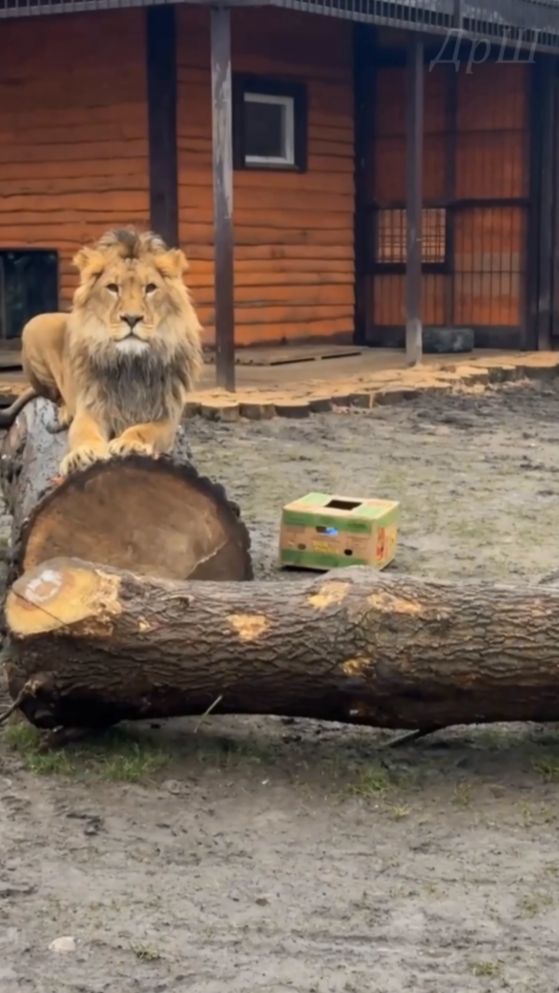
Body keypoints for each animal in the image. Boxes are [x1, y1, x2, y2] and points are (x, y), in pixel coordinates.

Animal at [0, 228, 203, 477]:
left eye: (150, 288)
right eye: (113, 288)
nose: (132, 318)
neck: (131, 365)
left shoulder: (167, 418)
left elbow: (144, 430)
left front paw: (129, 443)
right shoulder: (92, 407)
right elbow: (84, 433)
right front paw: (82, 454)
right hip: (35, 325)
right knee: (53, 394)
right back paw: (65, 412)